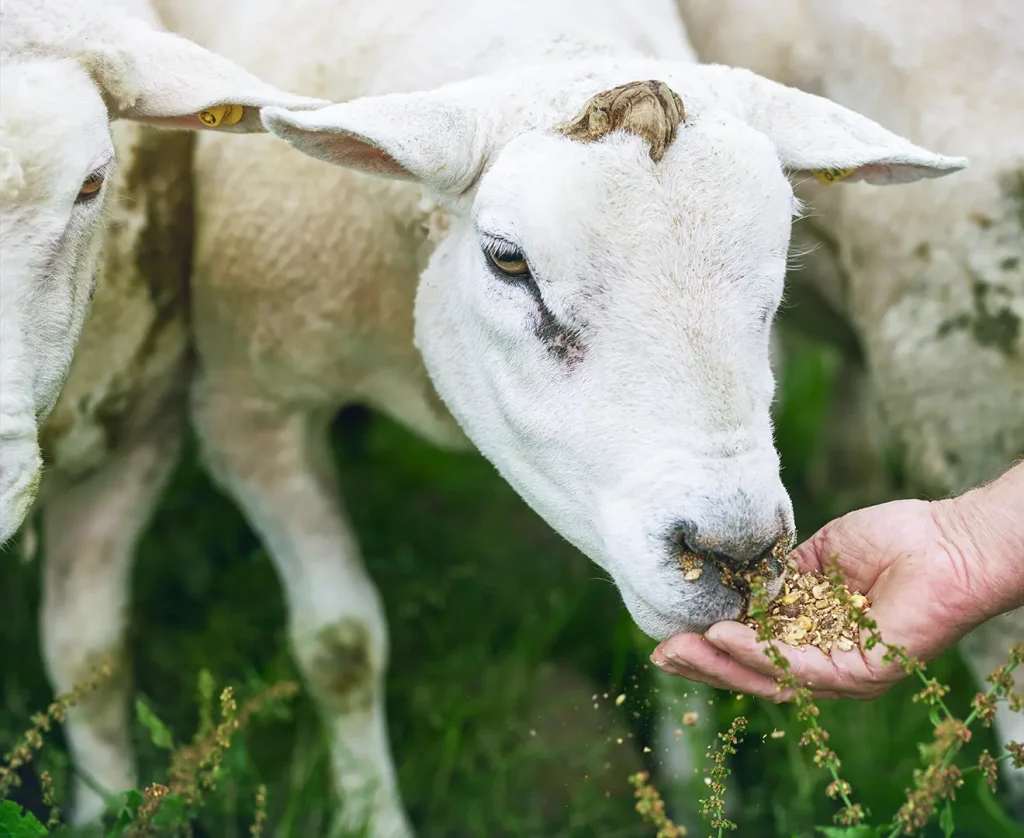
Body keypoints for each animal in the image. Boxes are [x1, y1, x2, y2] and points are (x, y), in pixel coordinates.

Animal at [138, 1, 969, 832]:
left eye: (780, 268)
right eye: (508, 260)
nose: (737, 555)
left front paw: (692, 795)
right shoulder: (247, 412)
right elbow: (341, 647)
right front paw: (373, 814)